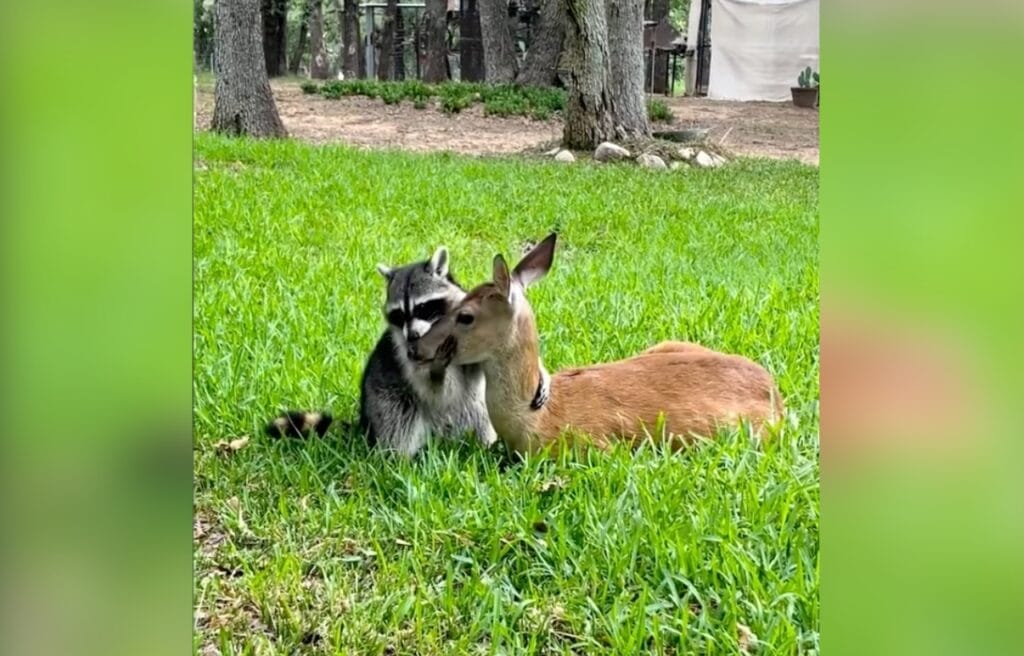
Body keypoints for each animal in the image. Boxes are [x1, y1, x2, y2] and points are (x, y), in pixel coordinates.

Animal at [266, 246, 495, 457]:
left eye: (422, 308)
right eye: (399, 314)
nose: (412, 336)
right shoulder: (405, 352)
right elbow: (435, 389)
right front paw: (437, 370)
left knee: (479, 409)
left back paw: (486, 444)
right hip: (385, 398)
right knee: (399, 421)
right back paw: (400, 459)